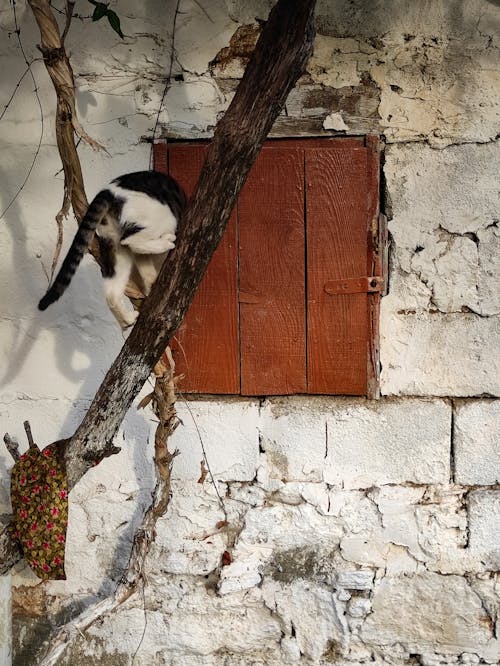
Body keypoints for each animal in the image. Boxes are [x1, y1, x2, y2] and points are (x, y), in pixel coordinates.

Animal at [37, 170, 186, 328]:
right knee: (129, 240)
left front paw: (152, 284)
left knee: (111, 294)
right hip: (164, 217)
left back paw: (127, 319)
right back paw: (167, 242)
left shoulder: (141, 258)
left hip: (114, 247)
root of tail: (109, 190)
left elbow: (146, 269)